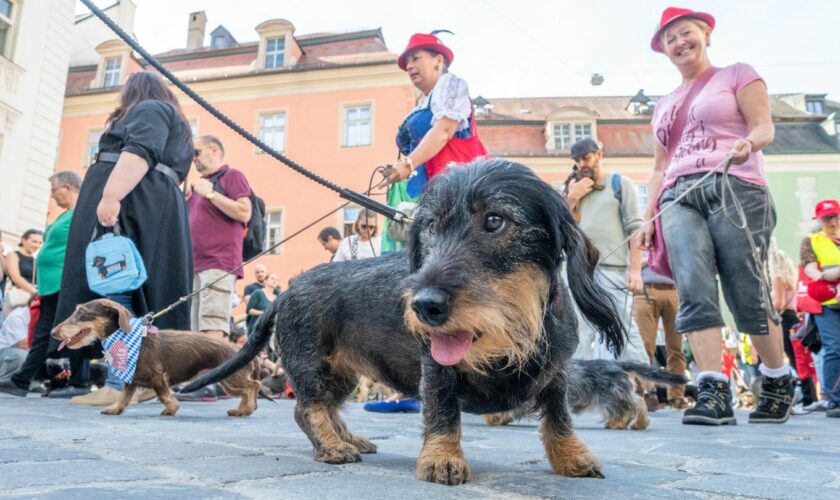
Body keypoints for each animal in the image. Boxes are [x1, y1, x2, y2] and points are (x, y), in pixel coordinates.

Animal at [51, 300, 260, 418]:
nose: (53, 332)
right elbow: (123, 397)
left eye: (82, 313)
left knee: (253, 386)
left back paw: (246, 409)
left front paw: (171, 408)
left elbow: (163, 395)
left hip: (231, 377)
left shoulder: (158, 377)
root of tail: (241, 348)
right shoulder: (131, 379)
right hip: (226, 379)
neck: (128, 339)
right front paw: (115, 409)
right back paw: (242, 410)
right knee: (247, 390)